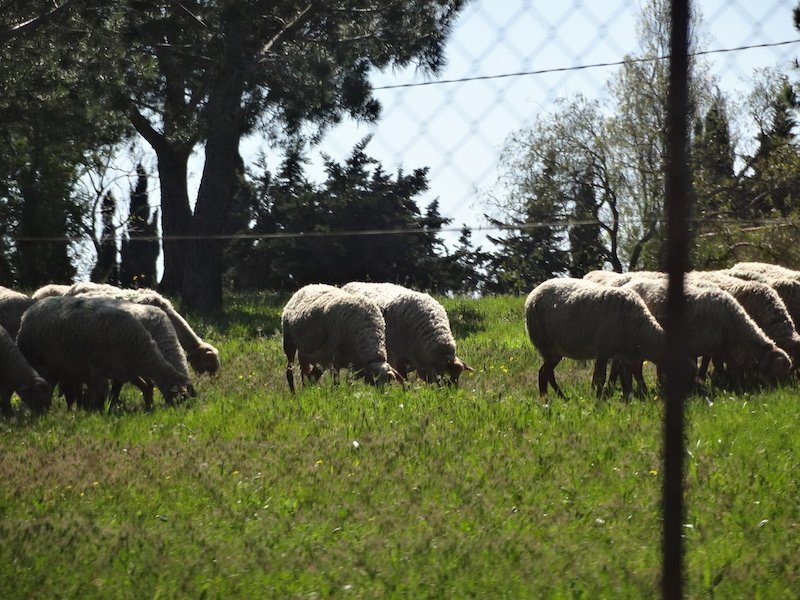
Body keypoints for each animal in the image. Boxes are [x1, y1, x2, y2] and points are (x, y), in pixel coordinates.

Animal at [16, 296, 191, 410]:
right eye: (179, 396)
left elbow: (144, 387)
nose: (178, 413)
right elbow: (101, 394)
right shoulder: (97, 370)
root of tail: (28, 313)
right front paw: (98, 412)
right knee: (47, 387)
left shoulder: (125, 370)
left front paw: (148, 407)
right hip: (45, 364)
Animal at [340, 282, 472, 384]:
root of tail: (349, 284)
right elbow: (404, 379)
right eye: (445, 375)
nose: (451, 394)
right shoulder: (399, 357)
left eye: (458, 376)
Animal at [520, 278, 672, 398]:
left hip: (554, 351)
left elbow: (628, 379)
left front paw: (631, 398)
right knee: (545, 372)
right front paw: (598, 399)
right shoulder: (603, 349)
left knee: (544, 372)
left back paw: (553, 398)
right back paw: (551, 398)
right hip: (545, 343)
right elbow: (600, 378)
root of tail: (532, 294)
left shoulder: (624, 355)